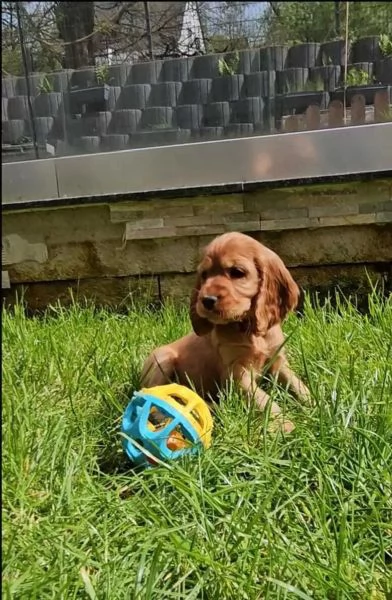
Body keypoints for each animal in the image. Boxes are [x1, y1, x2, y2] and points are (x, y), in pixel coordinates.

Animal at [141, 231, 310, 432]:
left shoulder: (278, 361)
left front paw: (317, 404)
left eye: (237, 272)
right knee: (151, 395)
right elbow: (264, 399)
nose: (206, 300)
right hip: (162, 359)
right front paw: (284, 424)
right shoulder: (237, 374)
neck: (249, 329)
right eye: (204, 275)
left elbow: (298, 384)